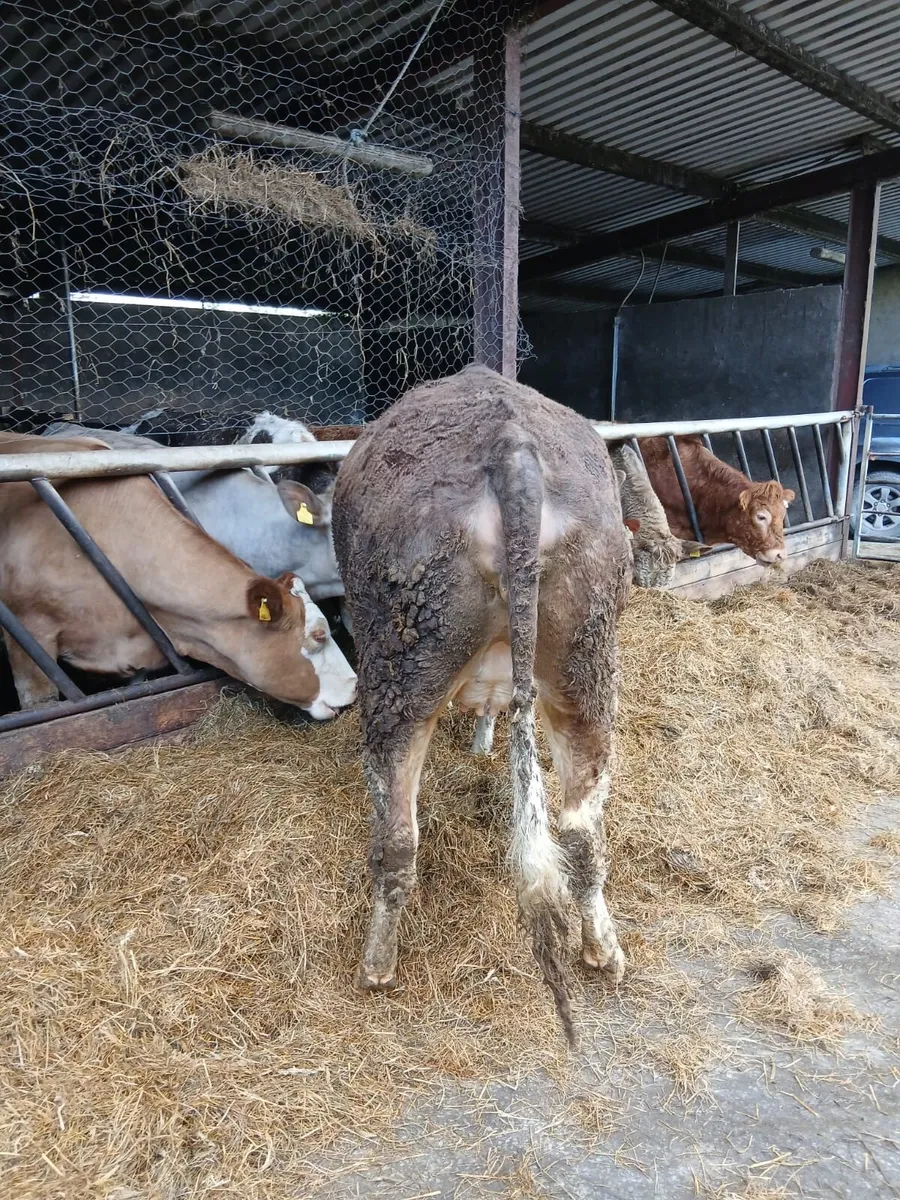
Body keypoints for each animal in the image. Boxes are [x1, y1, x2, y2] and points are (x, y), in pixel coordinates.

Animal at [332, 364, 634, 1045]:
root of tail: (512, 446)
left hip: (401, 665)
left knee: (397, 836)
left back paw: (376, 966)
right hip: (587, 655)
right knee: (581, 827)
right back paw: (603, 950)